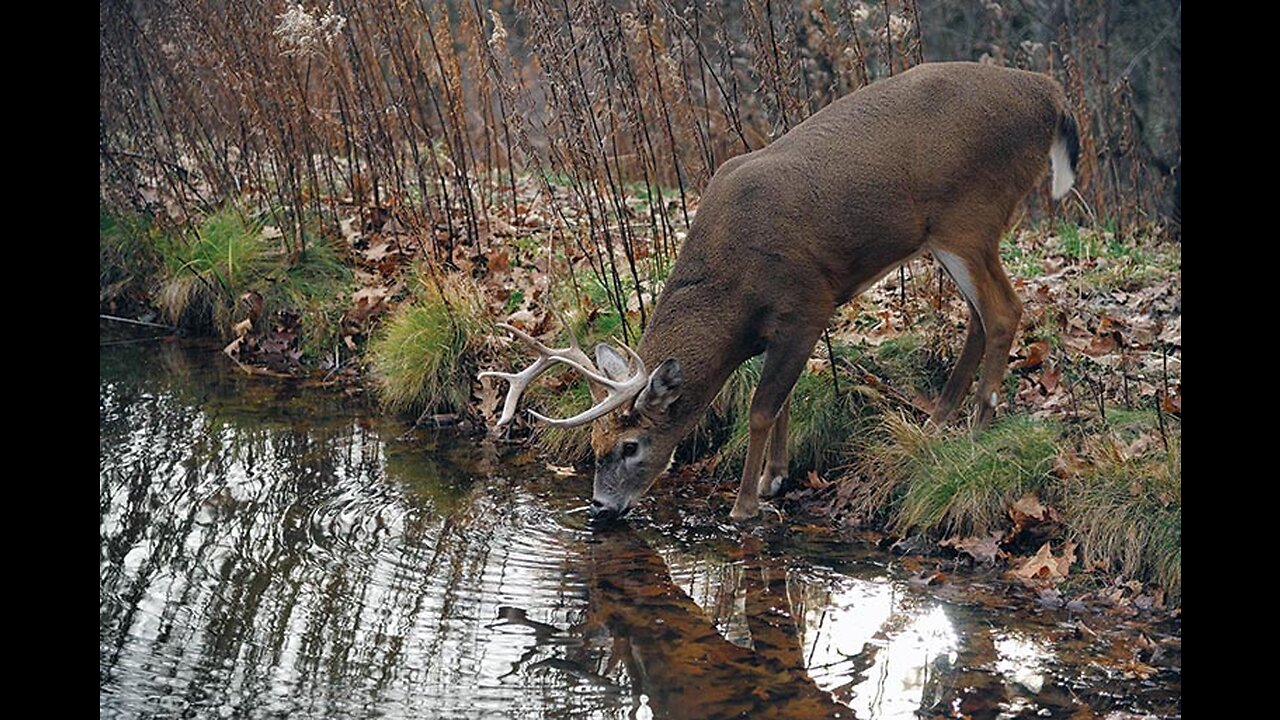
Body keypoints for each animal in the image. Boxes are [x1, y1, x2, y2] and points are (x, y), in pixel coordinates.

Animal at [481, 61, 1080, 520]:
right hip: (958, 235)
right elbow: (786, 398)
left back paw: (977, 431)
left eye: (631, 446)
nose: (601, 508)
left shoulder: (807, 302)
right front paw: (775, 478)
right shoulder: (782, 327)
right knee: (979, 315)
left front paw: (744, 504)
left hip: (970, 217)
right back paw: (934, 426)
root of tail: (1050, 94)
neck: (732, 288)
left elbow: (761, 408)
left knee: (1004, 310)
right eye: (595, 444)